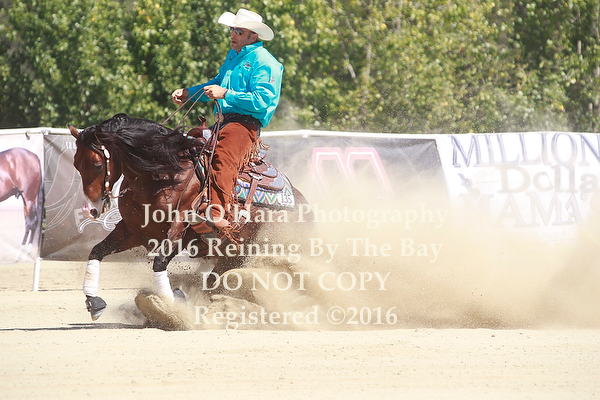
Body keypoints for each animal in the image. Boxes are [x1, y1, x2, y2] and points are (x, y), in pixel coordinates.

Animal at [69, 113, 311, 321]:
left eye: (97, 165)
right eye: (75, 165)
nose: (90, 210)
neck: (164, 176)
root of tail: (304, 204)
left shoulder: (182, 231)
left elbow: (159, 262)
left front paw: (171, 306)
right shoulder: (133, 230)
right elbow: (97, 250)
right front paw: (93, 301)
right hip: (231, 256)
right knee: (214, 281)